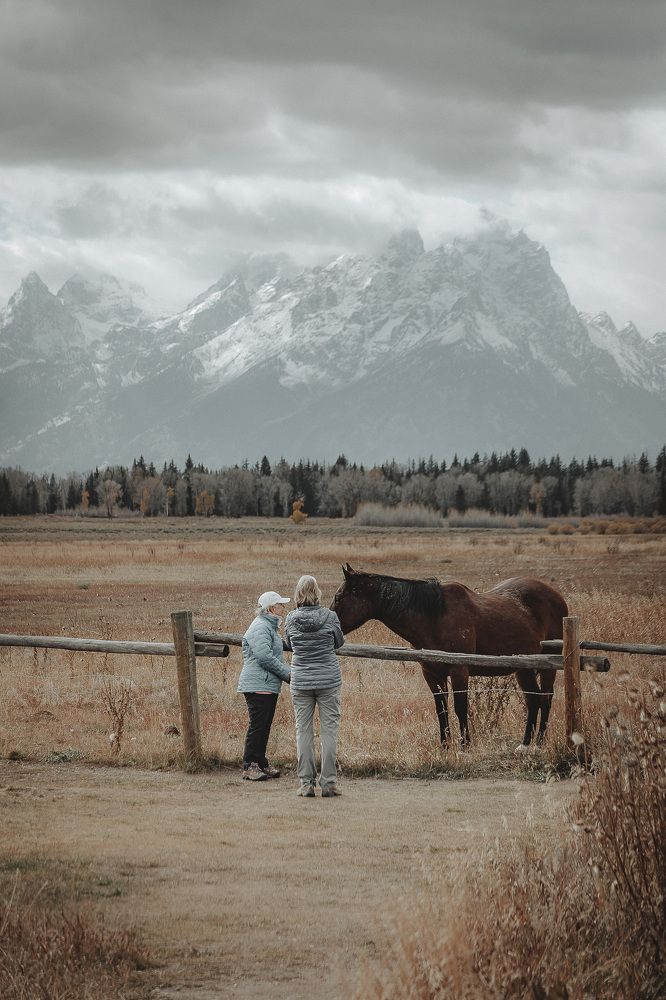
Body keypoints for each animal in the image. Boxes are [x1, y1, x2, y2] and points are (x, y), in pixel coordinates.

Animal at [331, 564, 568, 747]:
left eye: (339, 597)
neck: (435, 616)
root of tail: (557, 596)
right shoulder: (431, 673)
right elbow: (441, 709)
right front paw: (445, 747)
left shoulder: (459, 670)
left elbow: (460, 708)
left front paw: (465, 747)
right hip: (523, 669)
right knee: (533, 700)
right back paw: (525, 744)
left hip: (548, 665)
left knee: (545, 699)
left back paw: (538, 744)